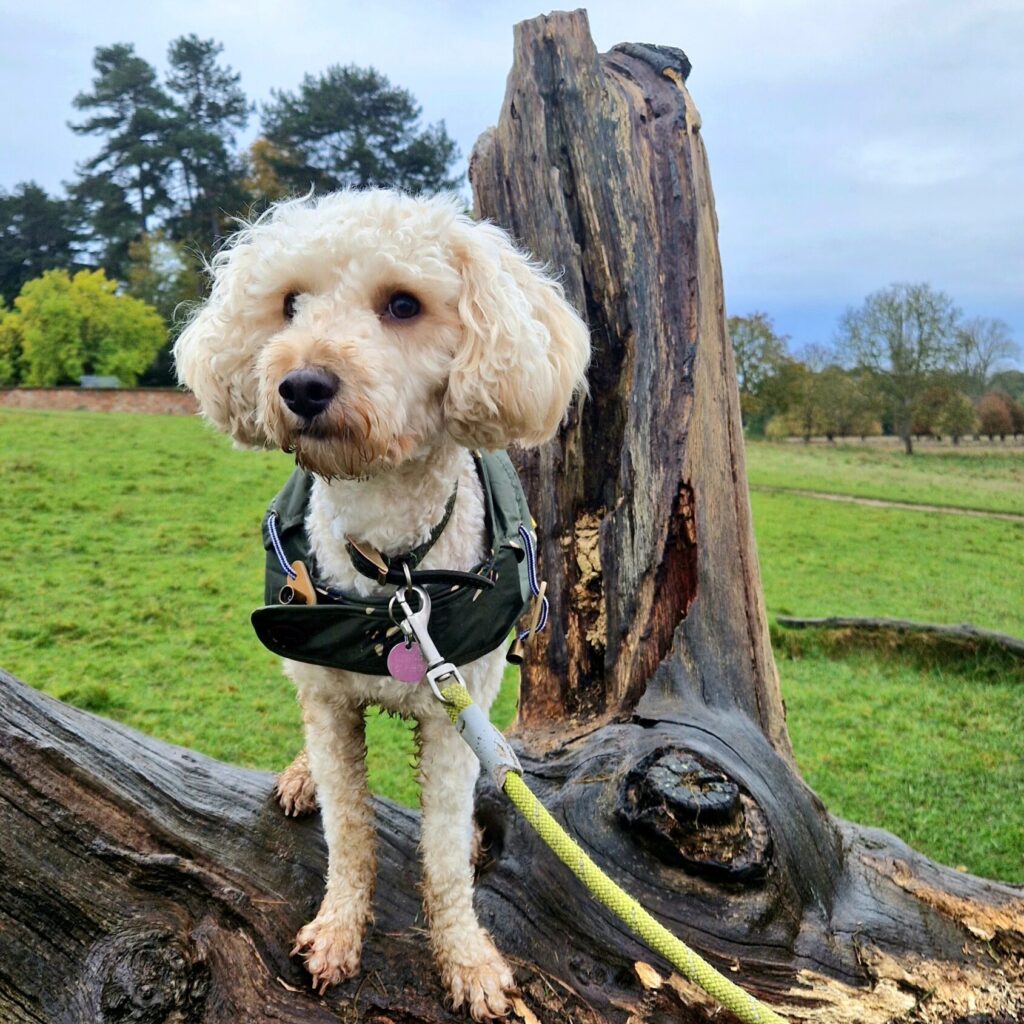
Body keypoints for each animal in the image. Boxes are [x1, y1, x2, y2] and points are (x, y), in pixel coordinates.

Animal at [174, 190, 593, 1015]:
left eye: (404, 305)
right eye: (289, 304)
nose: (301, 385)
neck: (394, 579)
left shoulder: (452, 714)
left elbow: (442, 853)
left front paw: (466, 959)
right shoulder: (331, 700)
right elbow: (350, 829)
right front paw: (338, 930)